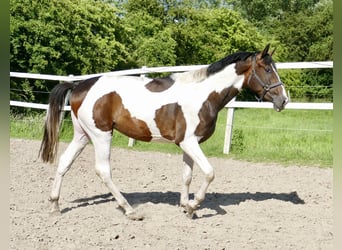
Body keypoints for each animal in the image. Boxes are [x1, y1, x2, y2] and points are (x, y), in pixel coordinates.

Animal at [38, 44, 288, 220]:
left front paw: (186, 208)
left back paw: (54, 205)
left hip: (82, 135)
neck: (203, 95)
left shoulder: (188, 144)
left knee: (64, 162)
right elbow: (209, 173)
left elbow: (187, 176)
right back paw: (130, 210)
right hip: (101, 135)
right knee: (103, 171)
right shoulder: (189, 143)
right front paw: (194, 205)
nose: (283, 100)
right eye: (267, 69)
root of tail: (79, 86)